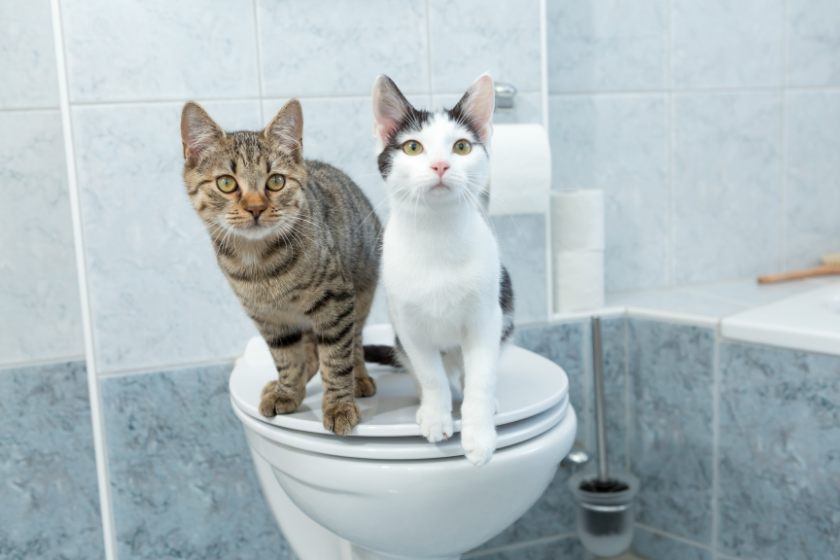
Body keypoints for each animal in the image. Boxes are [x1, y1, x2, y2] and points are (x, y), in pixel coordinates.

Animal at [184, 98, 384, 436]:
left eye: (275, 181)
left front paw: (338, 405)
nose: (255, 207)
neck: (261, 265)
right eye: (226, 183)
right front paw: (288, 392)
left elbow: (335, 357)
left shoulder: (336, 299)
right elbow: (286, 358)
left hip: (362, 290)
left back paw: (359, 378)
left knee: (353, 340)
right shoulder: (268, 318)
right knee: (310, 355)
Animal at [372, 74, 512, 468]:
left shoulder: (486, 318)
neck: (436, 235)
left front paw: (478, 433)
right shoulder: (407, 324)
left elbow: (480, 376)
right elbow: (430, 373)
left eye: (461, 147)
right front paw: (436, 415)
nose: (439, 165)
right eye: (413, 147)